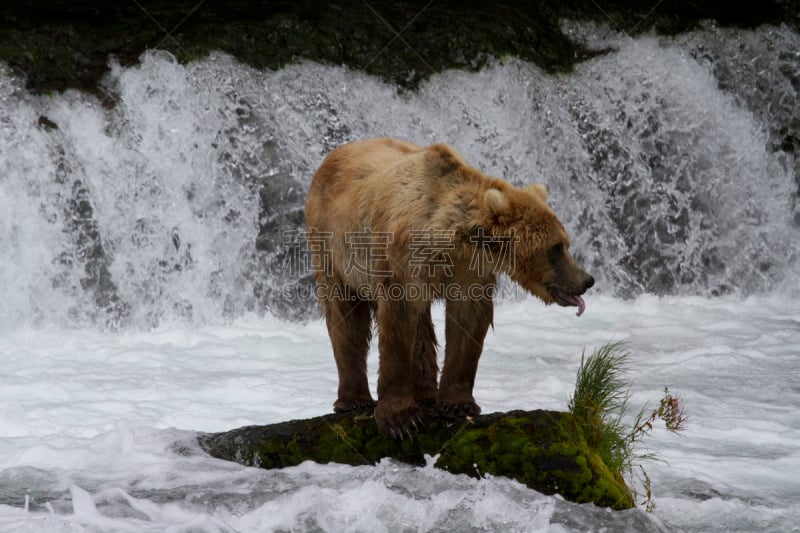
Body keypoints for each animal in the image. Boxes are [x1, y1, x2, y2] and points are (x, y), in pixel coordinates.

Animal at [304, 139, 592, 438]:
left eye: (565, 243)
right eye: (556, 248)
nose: (586, 280)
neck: (448, 239)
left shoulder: (470, 269)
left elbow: (467, 323)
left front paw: (458, 404)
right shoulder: (404, 262)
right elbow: (397, 324)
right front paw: (401, 419)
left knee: (421, 328)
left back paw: (426, 394)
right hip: (334, 248)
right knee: (345, 316)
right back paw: (354, 399)